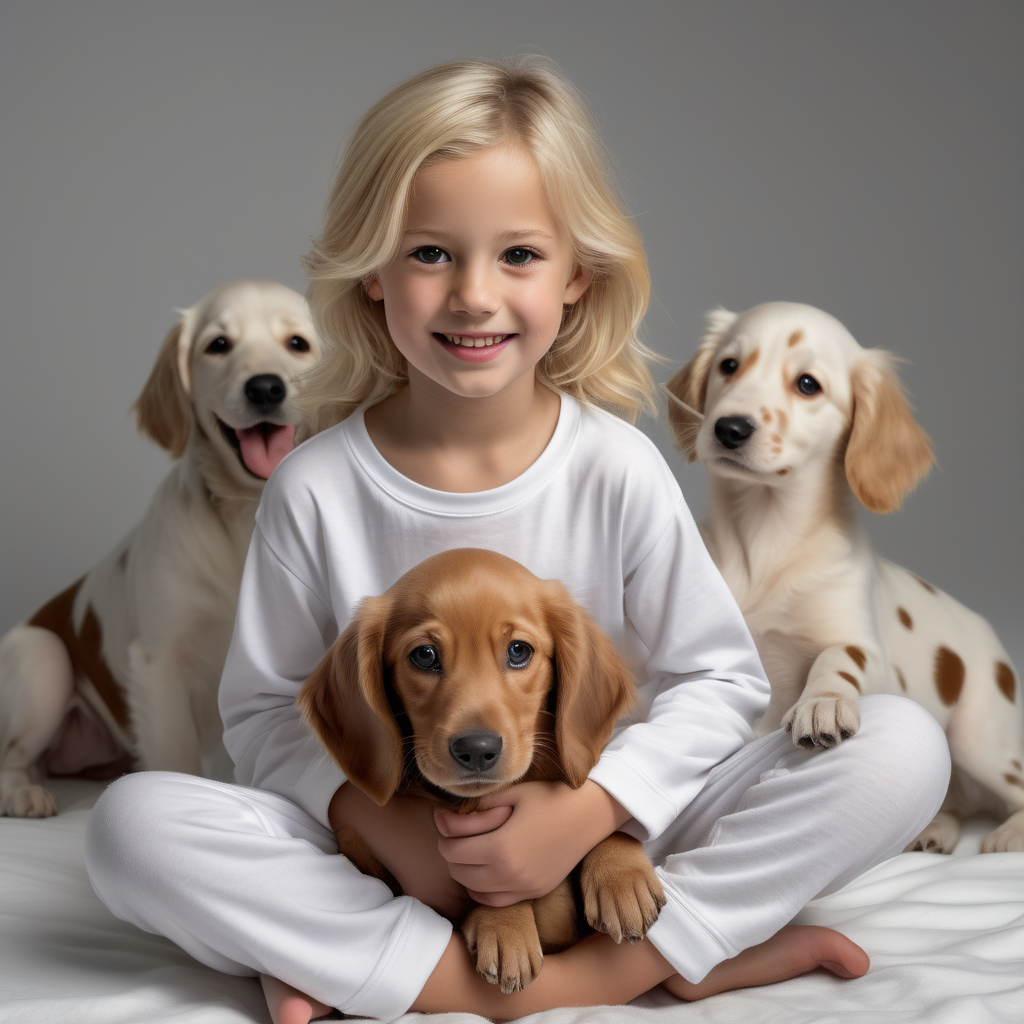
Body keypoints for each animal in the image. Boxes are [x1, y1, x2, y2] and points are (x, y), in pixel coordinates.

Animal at [0, 278, 319, 815]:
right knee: (11, 756)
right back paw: (24, 793)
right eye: (218, 345)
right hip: (43, 656)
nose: (265, 387)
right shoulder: (159, 661)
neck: (246, 516)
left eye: (298, 343)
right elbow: (176, 756)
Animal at [667, 301, 1019, 856]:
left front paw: (824, 704)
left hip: (982, 737)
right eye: (729, 366)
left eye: (808, 384)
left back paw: (1006, 834)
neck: (766, 537)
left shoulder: (861, 643)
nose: (730, 428)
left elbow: (836, 659)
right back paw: (933, 830)